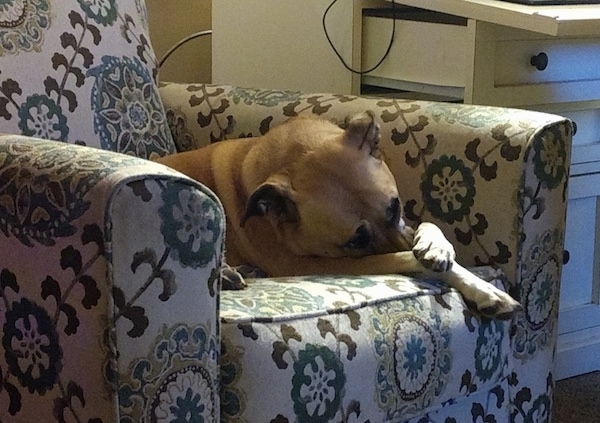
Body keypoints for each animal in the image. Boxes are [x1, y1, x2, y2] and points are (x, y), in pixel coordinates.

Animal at [155, 111, 520, 320]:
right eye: (355, 241)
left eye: (395, 207)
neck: (292, 156)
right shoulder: (322, 265)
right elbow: (407, 258)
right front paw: (485, 290)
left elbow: (424, 228)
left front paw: (436, 246)